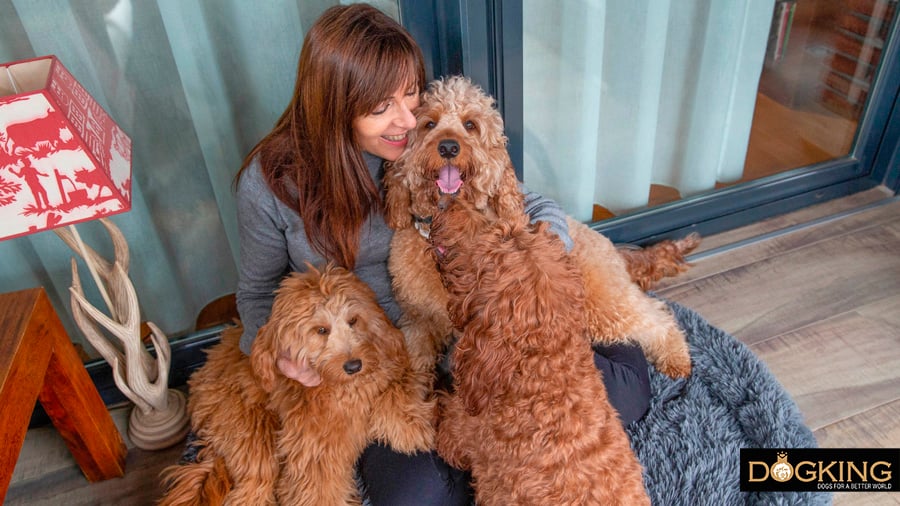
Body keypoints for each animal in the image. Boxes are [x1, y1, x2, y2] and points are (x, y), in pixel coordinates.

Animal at [159, 264, 436, 506]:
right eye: (321, 330)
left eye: (353, 320)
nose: (354, 366)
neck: (343, 387)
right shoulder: (315, 450)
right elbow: (319, 489)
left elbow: (398, 386)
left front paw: (409, 426)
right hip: (251, 430)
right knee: (252, 487)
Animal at [384, 74, 696, 376]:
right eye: (429, 124)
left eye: (470, 125)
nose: (448, 146)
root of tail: (608, 245)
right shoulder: (419, 318)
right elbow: (414, 360)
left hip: (602, 304)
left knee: (654, 315)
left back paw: (676, 356)